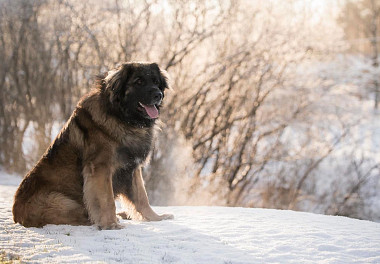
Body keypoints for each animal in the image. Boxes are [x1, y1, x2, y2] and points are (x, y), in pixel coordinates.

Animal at [12, 62, 174, 229]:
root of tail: (16, 214)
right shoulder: (100, 168)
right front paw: (111, 224)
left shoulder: (132, 167)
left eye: (156, 82)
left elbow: (142, 197)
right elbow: (107, 200)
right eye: (139, 82)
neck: (122, 118)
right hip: (62, 202)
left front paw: (156, 218)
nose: (158, 95)